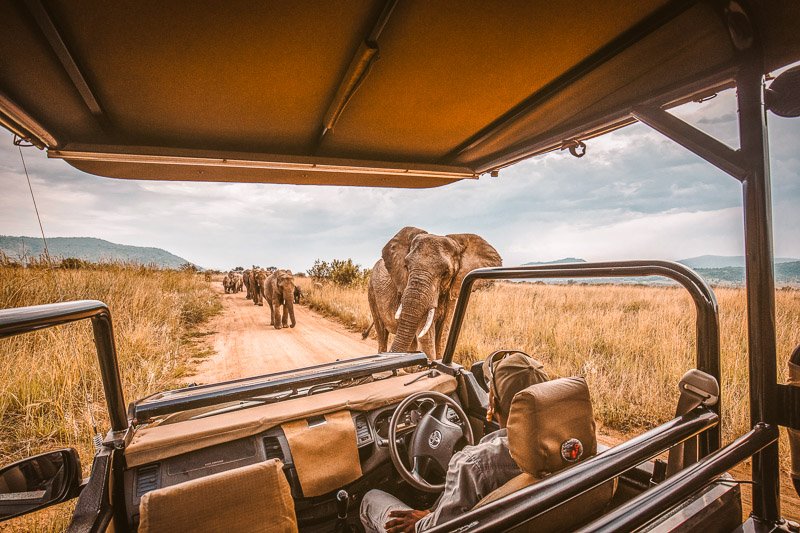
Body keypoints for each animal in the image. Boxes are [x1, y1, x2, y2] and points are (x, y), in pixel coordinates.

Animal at [368, 227, 500, 360]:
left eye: (445, 273)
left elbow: (443, 333)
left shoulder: (452, 292)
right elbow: (426, 336)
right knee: (382, 333)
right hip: (372, 292)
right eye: (406, 266)